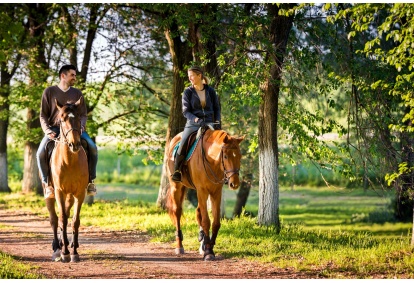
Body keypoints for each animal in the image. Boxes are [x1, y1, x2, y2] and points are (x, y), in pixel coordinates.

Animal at [42, 98, 89, 264]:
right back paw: (57, 247)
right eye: (62, 119)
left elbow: (75, 220)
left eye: (78, 118)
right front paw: (65, 253)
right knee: (54, 219)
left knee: (67, 215)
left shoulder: (80, 193)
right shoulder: (59, 192)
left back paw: (67, 243)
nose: (74, 144)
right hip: (50, 193)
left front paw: (74, 252)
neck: (69, 162)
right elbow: (61, 218)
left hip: (70, 196)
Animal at [165, 128, 243, 262]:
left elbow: (215, 222)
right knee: (177, 212)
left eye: (239, 156)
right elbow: (206, 221)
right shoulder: (202, 191)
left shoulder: (216, 193)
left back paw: (202, 242)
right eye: (226, 156)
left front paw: (209, 246)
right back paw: (179, 246)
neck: (212, 161)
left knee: (198, 212)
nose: (234, 183)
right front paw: (208, 252)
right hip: (176, 187)